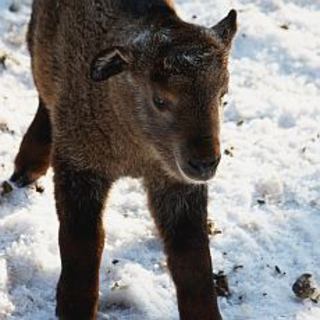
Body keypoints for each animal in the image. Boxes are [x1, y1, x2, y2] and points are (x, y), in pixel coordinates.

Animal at [11, 0, 238, 320]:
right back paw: (27, 166)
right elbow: (82, 244)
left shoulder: (175, 181)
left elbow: (192, 260)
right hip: (41, 44)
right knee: (44, 92)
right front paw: (73, 308)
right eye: (159, 100)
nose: (205, 163)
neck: (138, 152)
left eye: (222, 95)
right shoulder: (79, 162)